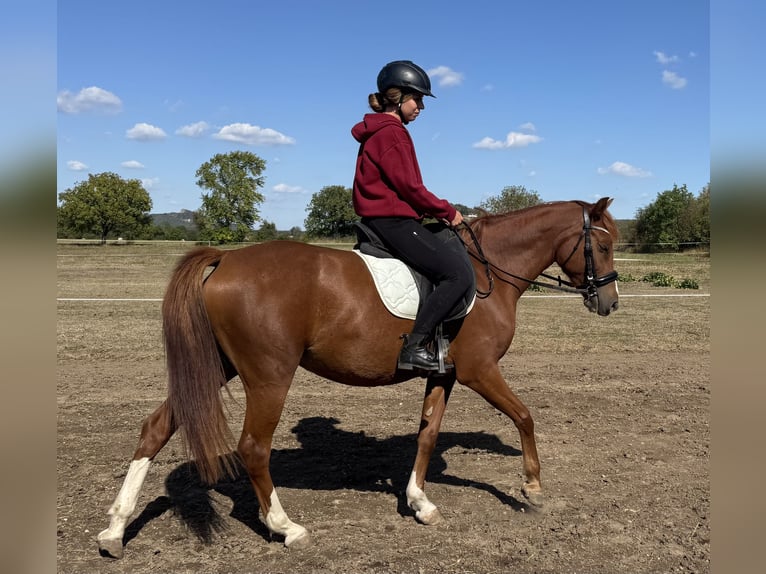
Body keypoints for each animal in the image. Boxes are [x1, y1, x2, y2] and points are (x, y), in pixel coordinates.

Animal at [97, 197, 620, 558]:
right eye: (604, 245)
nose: (609, 303)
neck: (488, 268)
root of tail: (227, 259)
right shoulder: (480, 371)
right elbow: (525, 416)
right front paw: (532, 488)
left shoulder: (445, 375)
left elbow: (427, 435)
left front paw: (420, 503)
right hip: (269, 376)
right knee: (253, 448)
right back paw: (286, 527)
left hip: (216, 368)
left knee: (156, 428)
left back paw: (115, 530)